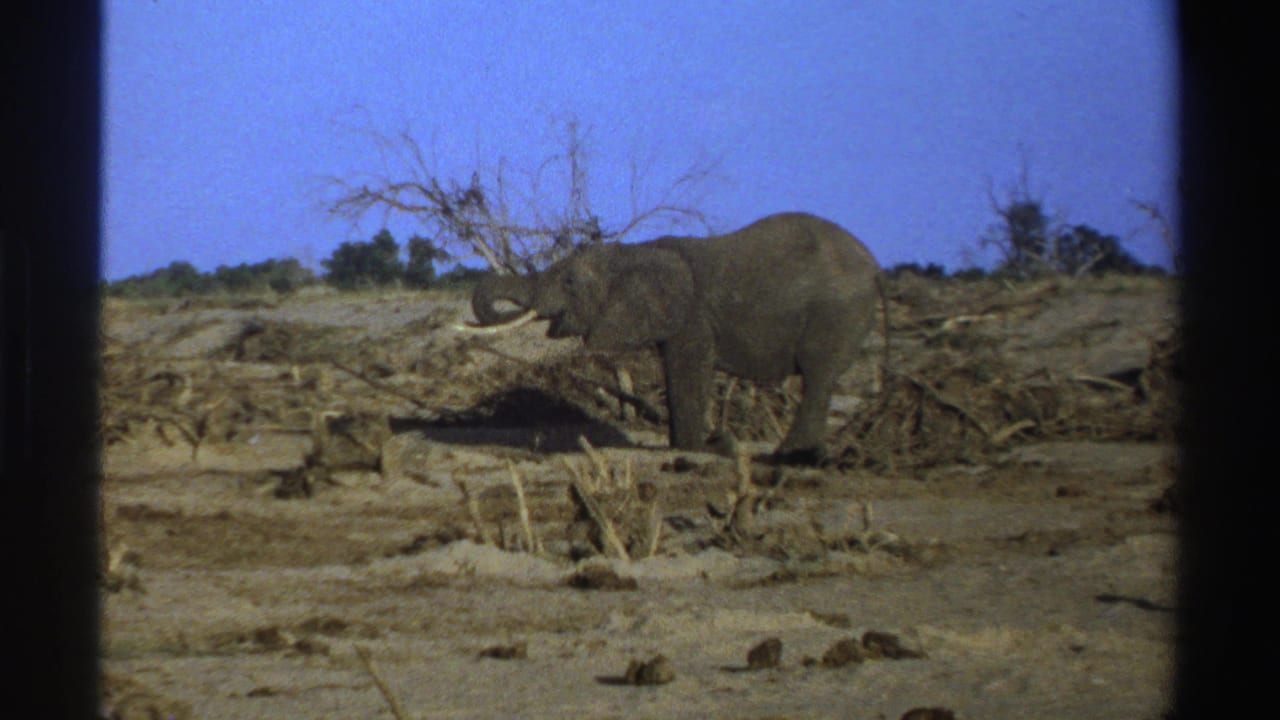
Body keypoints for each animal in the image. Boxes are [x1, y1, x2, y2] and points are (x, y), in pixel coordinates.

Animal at [464, 212, 881, 464]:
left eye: (569, 282)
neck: (637, 252)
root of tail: (875, 266)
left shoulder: (693, 317)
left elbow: (688, 369)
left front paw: (697, 448)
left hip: (837, 312)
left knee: (817, 375)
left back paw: (789, 457)